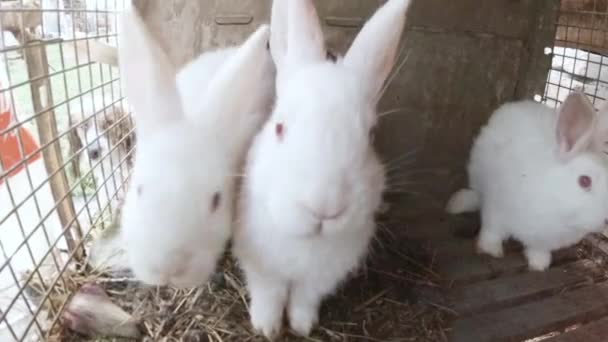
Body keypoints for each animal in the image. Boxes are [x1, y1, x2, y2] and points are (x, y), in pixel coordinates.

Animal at [233, 0, 414, 338]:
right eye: (279, 128)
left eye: (371, 136)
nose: (325, 209)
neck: (309, 242)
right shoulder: (262, 266)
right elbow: (269, 295)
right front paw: (267, 328)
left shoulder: (321, 278)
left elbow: (304, 299)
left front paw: (302, 327)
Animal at [444, 91, 608, 272]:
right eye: (584, 181)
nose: (607, 220)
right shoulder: (495, 209)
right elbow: (492, 231)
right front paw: (490, 250)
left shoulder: (543, 241)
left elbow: (538, 250)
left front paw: (539, 264)